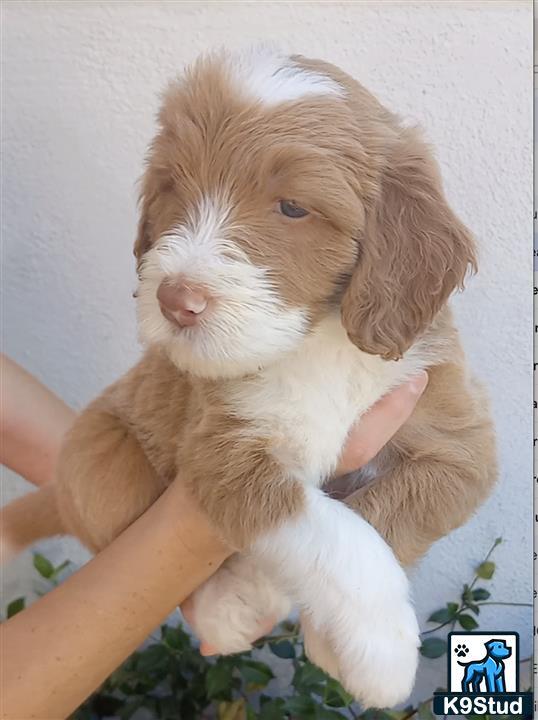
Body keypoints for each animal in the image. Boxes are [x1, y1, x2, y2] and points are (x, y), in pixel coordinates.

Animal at [1, 49, 494, 708]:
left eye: (292, 207)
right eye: (174, 186)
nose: (174, 300)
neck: (313, 344)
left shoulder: (458, 443)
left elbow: (381, 514)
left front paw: (334, 643)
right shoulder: (222, 448)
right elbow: (330, 530)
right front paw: (382, 650)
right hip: (99, 458)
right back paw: (227, 604)